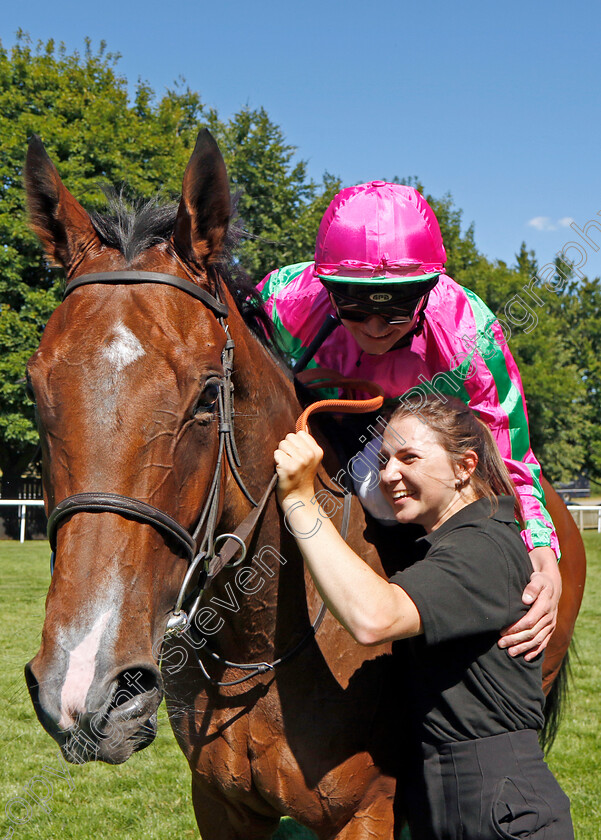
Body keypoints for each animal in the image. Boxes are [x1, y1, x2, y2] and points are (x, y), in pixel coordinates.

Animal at [23, 131, 584, 840]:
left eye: (207, 397)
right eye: (35, 389)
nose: (85, 684)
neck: (258, 644)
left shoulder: (365, 811)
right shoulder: (220, 804)